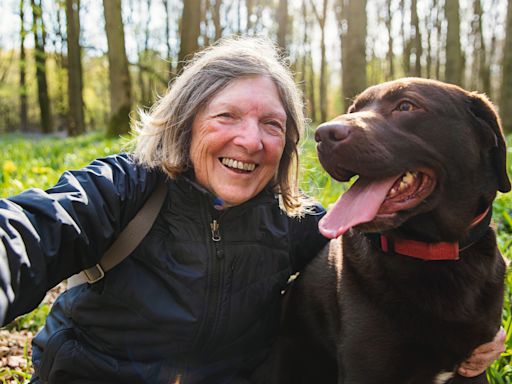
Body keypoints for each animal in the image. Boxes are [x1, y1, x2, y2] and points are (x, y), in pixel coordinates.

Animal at [258, 78, 510, 384]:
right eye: (354, 109)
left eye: (406, 106)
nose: (322, 134)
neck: (435, 252)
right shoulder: (367, 366)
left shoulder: (473, 366)